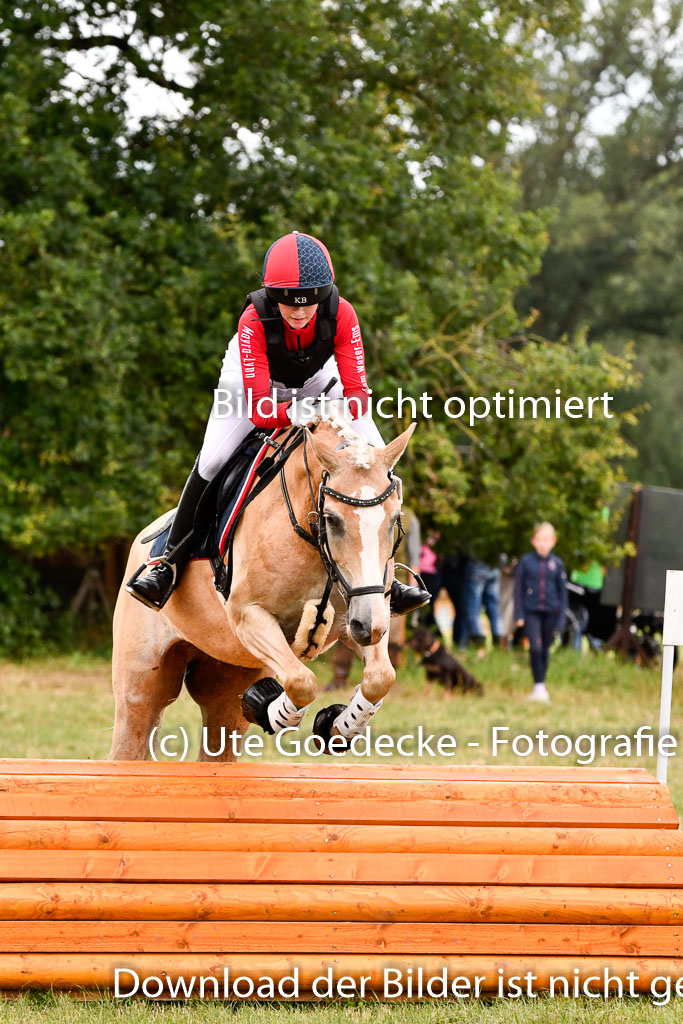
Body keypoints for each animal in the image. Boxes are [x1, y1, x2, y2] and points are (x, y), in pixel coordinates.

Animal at [109, 407, 413, 761]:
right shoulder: (248, 616)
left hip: (226, 685)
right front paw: (271, 709)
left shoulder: (366, 608)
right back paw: (156, 578)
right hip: (141, 684)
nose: (366, 627)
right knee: (131, 735)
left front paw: (339, 726)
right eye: (332, 519)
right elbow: (301, 681)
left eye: (394, 519)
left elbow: (381, 677)